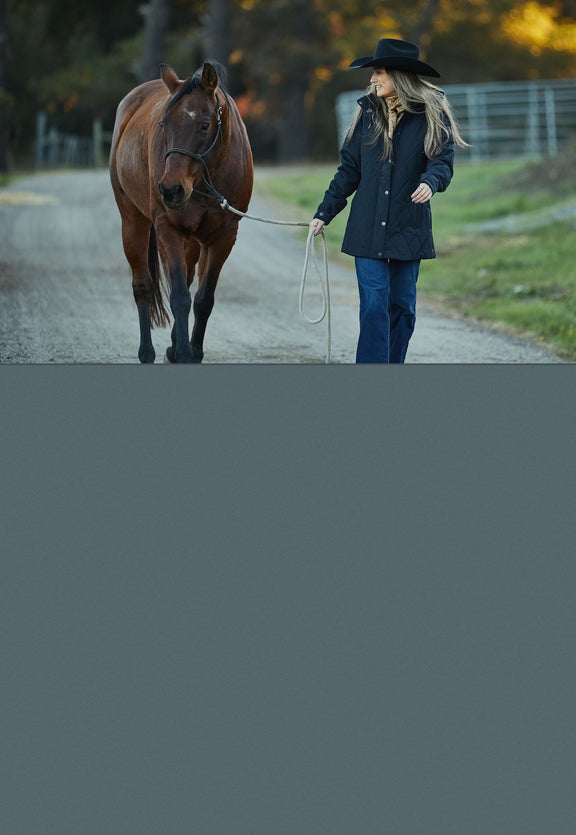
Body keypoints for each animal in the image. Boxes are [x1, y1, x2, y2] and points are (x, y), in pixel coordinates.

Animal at [109, 61, 254, 363]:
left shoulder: (223, 237)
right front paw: (185, 353)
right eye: (164, 124)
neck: (207, 177)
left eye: (204, 125)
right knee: (143, 286)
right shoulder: (170, 229)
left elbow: (203, 299)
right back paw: (147, 352)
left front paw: (192, 350)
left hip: (194, 242)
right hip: (133, 221)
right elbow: (179, 297)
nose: (170, 190)